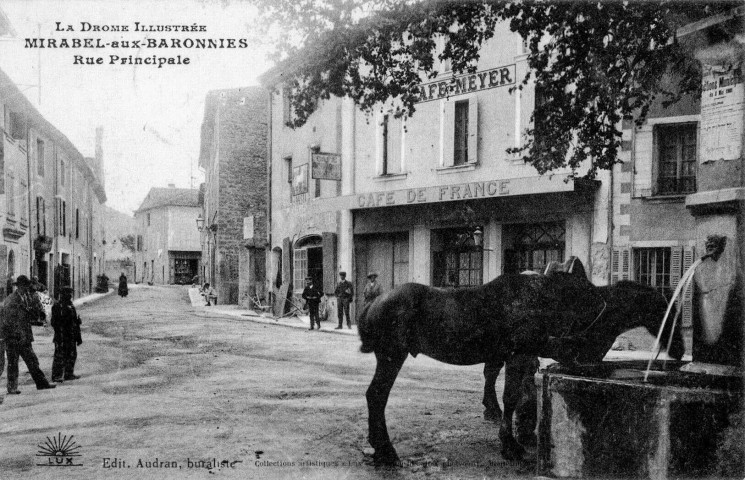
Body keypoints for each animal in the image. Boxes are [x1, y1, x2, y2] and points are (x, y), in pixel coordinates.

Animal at [358, 274, 684, 464]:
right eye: (665, 308)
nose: (680, 349)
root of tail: (373, 303)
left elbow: (519, 396)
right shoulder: (518, 355)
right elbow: (511, 398)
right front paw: (510, 444)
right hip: (392, 355)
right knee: (377, 396)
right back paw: (385, 451)